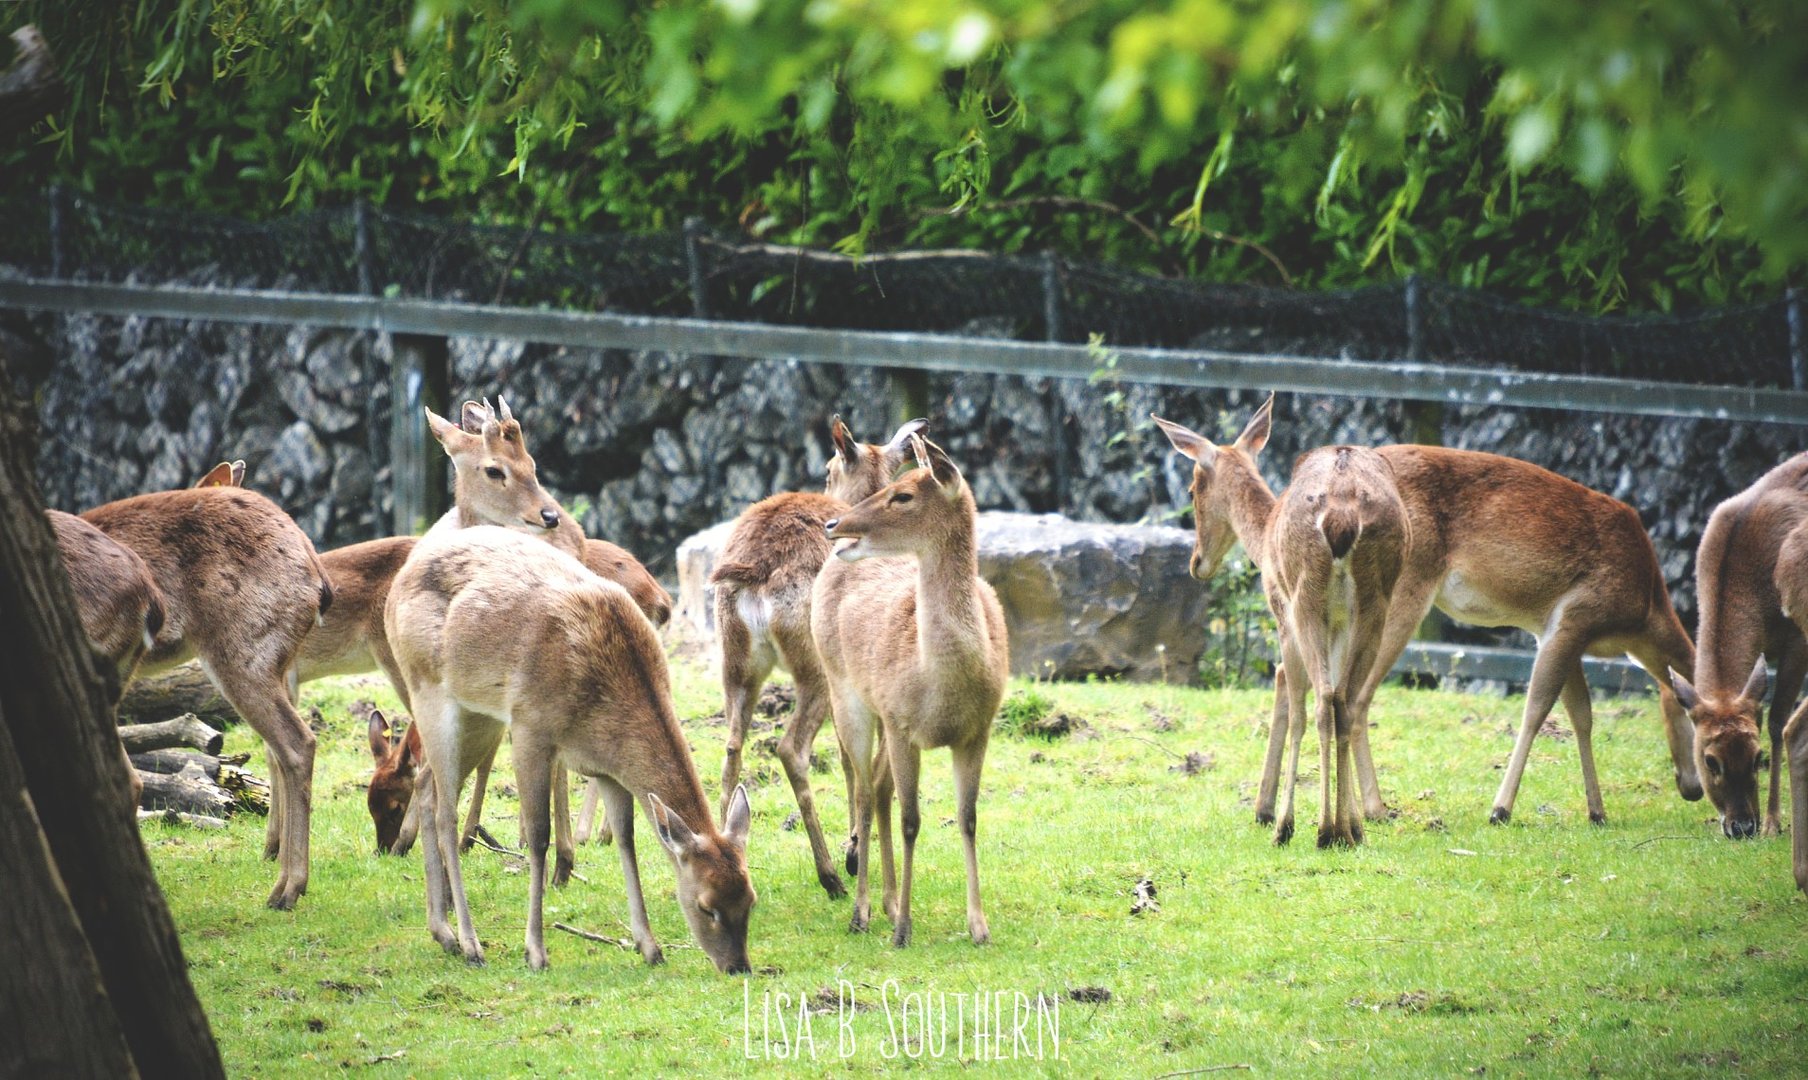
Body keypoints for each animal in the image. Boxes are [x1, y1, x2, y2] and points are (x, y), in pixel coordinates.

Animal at [385, 525, 756, 972]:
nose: (738, 967)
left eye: (750, 899)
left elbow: (626, 838)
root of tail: (401, 575)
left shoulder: (608, 769)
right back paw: (471, 943)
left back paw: (443, 932)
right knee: (445, 813)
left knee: (427, 785)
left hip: (480, 716)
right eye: (705, 906)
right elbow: (539, 835)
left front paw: (649, 946)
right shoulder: (531, 728)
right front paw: (535, 951)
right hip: (428, 690)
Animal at [710, 415, 925, 898]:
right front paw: (855, 851)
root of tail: (753, 569)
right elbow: (859, 757)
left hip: (737, 666)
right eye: (829, 468)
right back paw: (830, 875)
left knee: (732, 746)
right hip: (816, 668)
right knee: (791, 748)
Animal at [812, 435, 1008, 947]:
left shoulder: (977, 731)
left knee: (878, 788)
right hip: (845, 693)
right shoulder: (903, 725)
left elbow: (969, 817)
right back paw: (861, 911)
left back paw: (886, 901)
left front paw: (979, 926)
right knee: (863, 793)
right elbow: (912, 820)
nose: (833, 524)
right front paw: (903, 930)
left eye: (903, 495)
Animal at [1154, 395, 1701, 830]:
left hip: (1385, 600)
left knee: (1344, 696)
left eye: (1191, 490)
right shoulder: (1568, 622)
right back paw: (1357, 815)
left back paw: (1347, 817)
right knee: (1349, 697)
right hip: (1391, 599)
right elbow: (1563, 708)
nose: (1196, 562)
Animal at [1670, 452, 1808, 840]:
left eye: (1757, 757)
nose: (1743, 826)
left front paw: (1774, 822)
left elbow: (1777, 722)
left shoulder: (1797, 639)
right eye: (1709, 759)